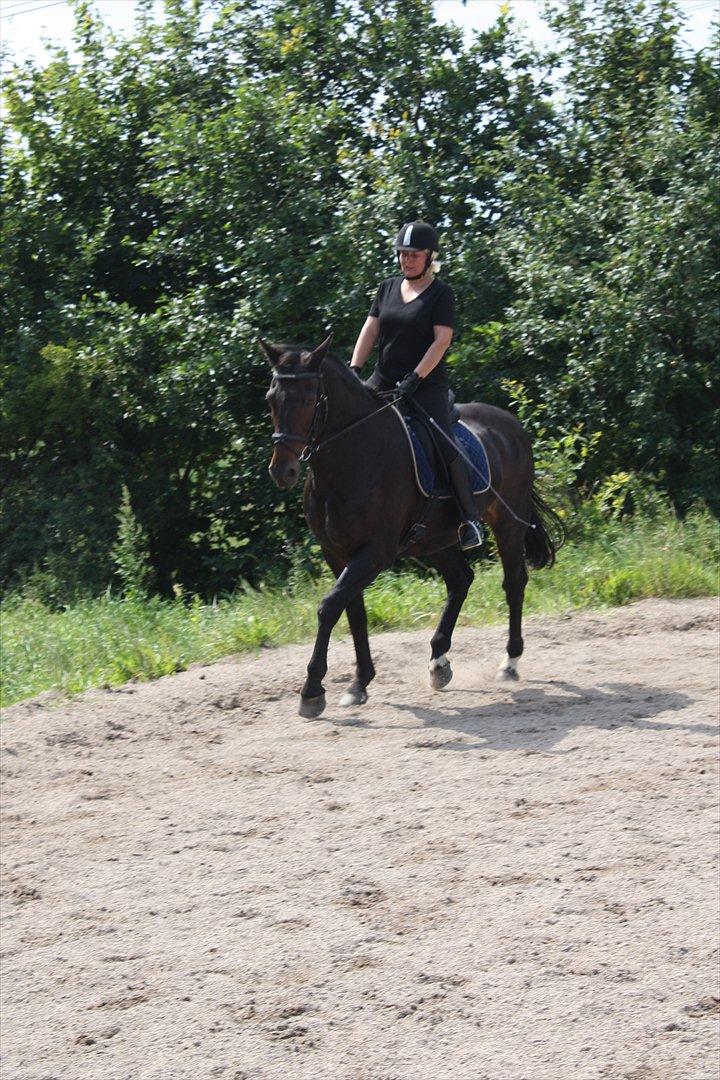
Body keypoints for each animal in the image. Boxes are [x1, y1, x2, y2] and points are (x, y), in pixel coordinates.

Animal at [259, 328, 561, 717]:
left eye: (310, 398)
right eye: (271, 398)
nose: (283, 471)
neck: (352, 456)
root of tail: (511, 423)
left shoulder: (376, 550)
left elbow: (329, 607)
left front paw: (312, 691)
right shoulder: (337, 552)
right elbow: (353, 610)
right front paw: (359, 682)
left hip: (507, 524)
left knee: (513, 583)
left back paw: (509, 663)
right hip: (436, 538)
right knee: (461, 580)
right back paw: (439, 661)